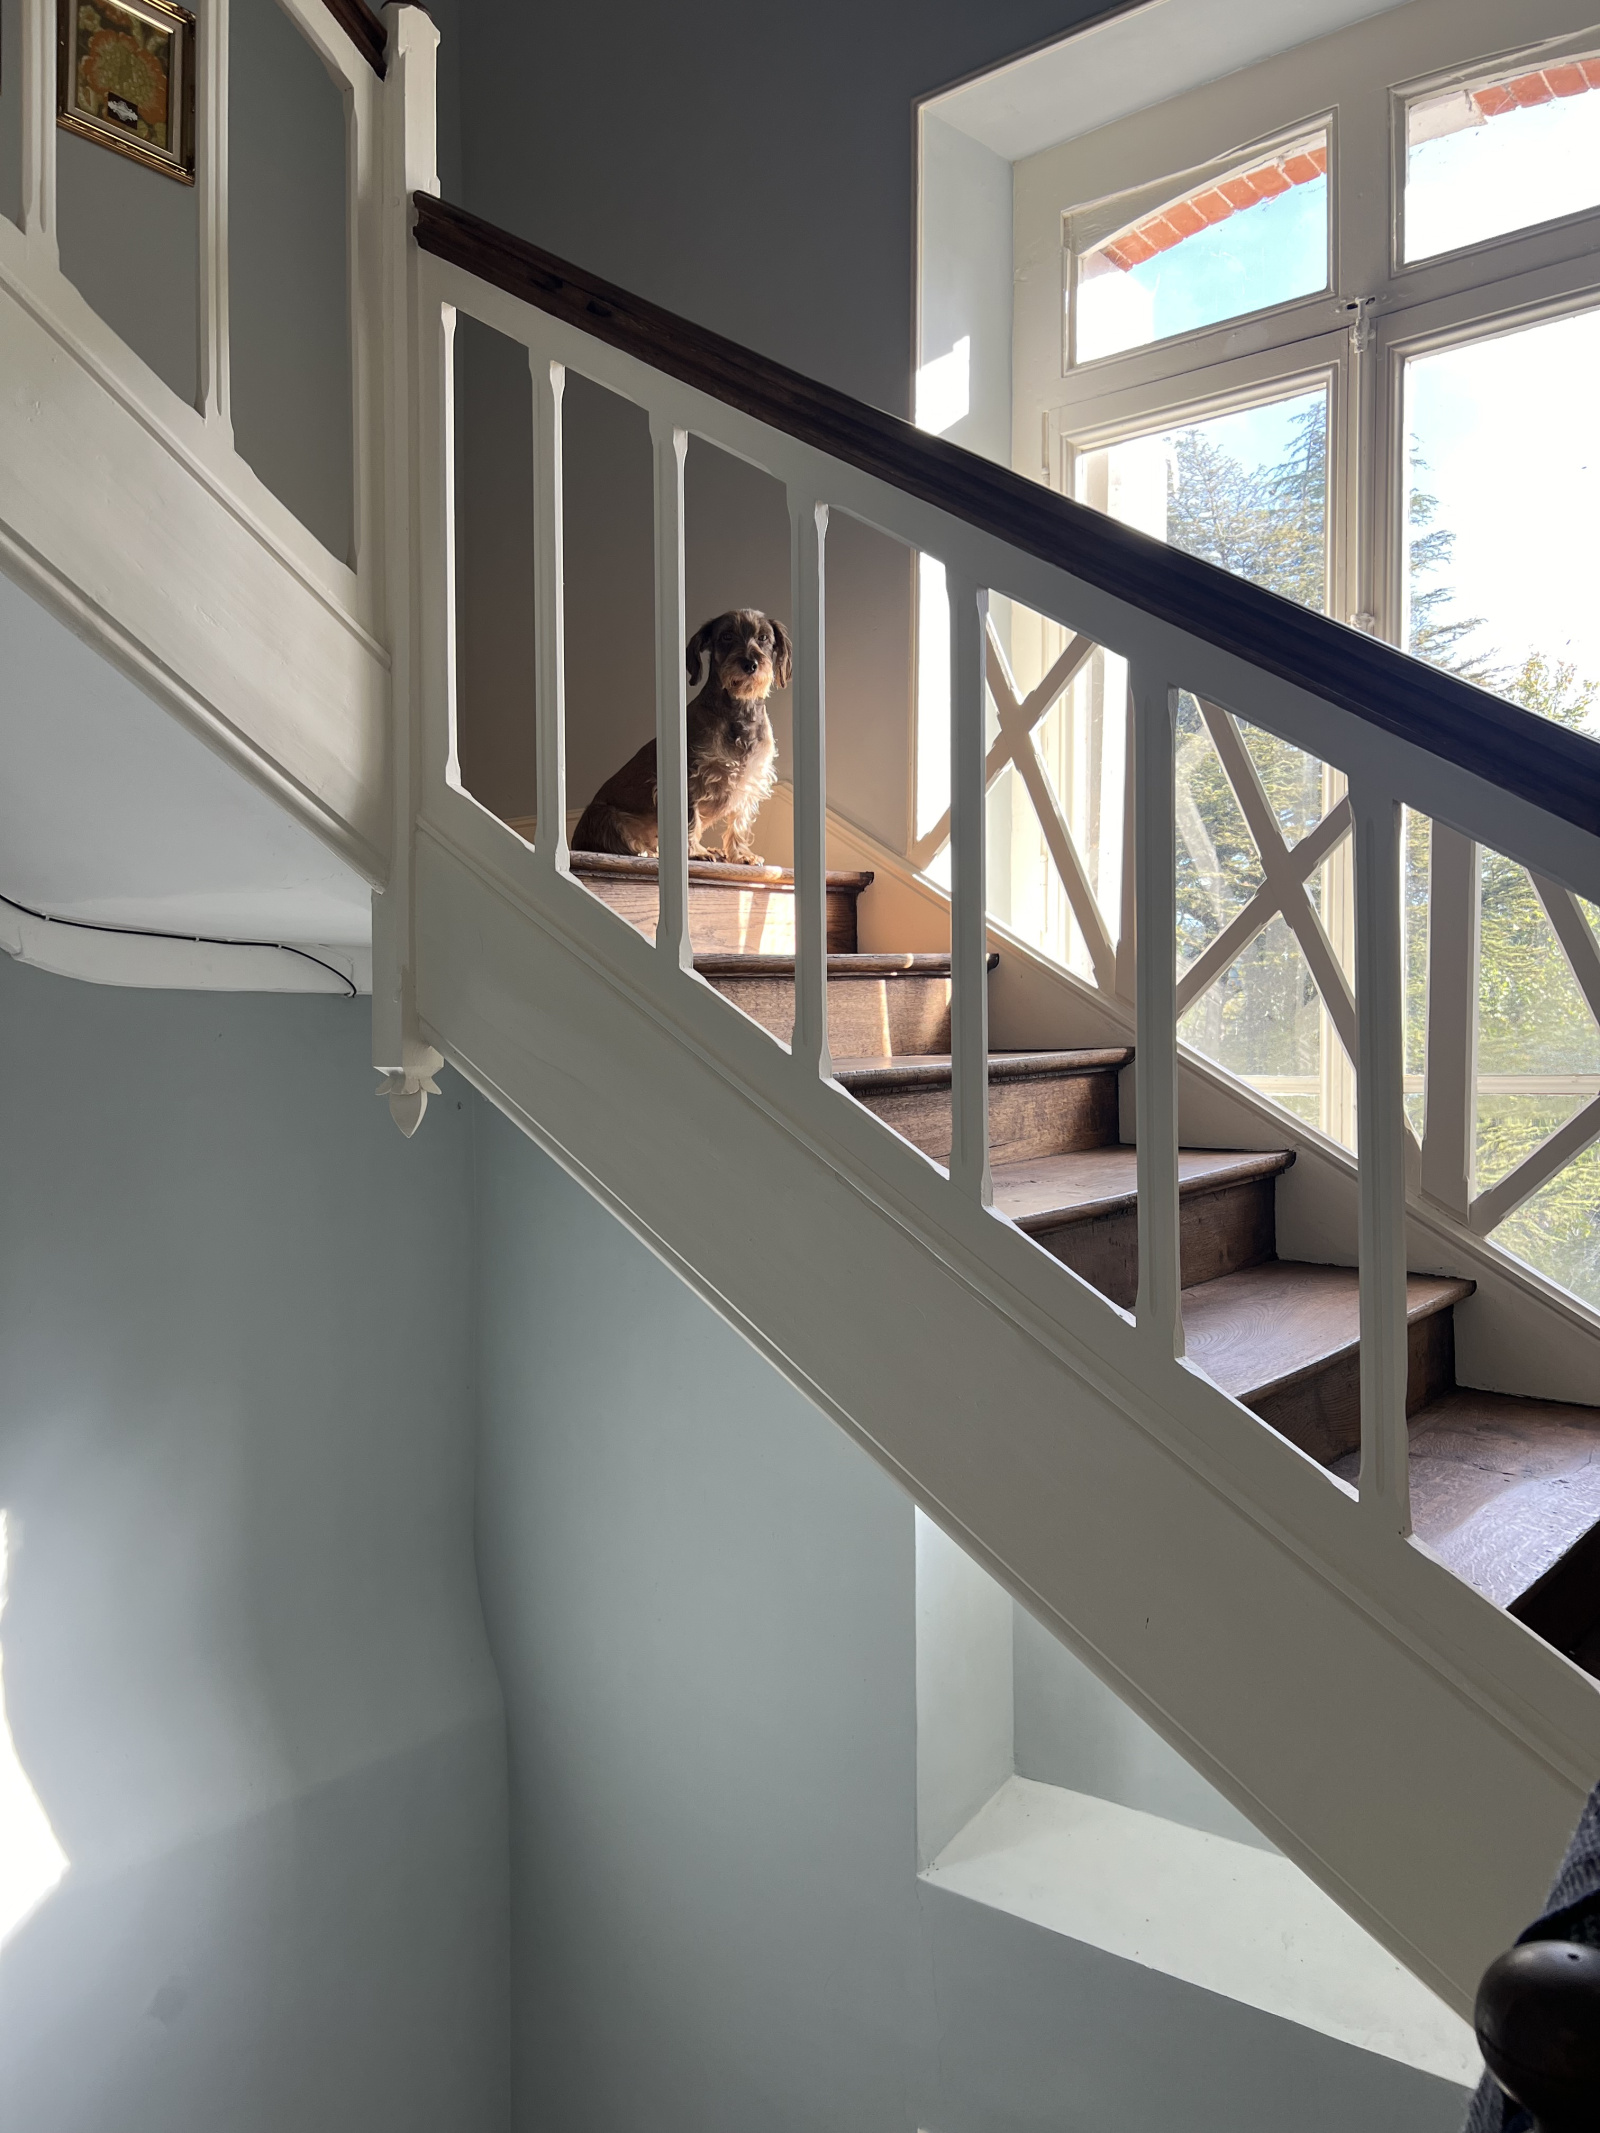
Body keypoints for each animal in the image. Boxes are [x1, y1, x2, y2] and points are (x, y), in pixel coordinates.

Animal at [571, 609, 790, 865]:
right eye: (726, 636)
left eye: (763, 637)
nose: (749, 664)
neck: (739, 709)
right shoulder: (692, 776)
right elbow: (690, 818)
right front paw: (695, 851)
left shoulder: (750, 780)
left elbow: (739, 822)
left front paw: (740, 854)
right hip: (603, 814)